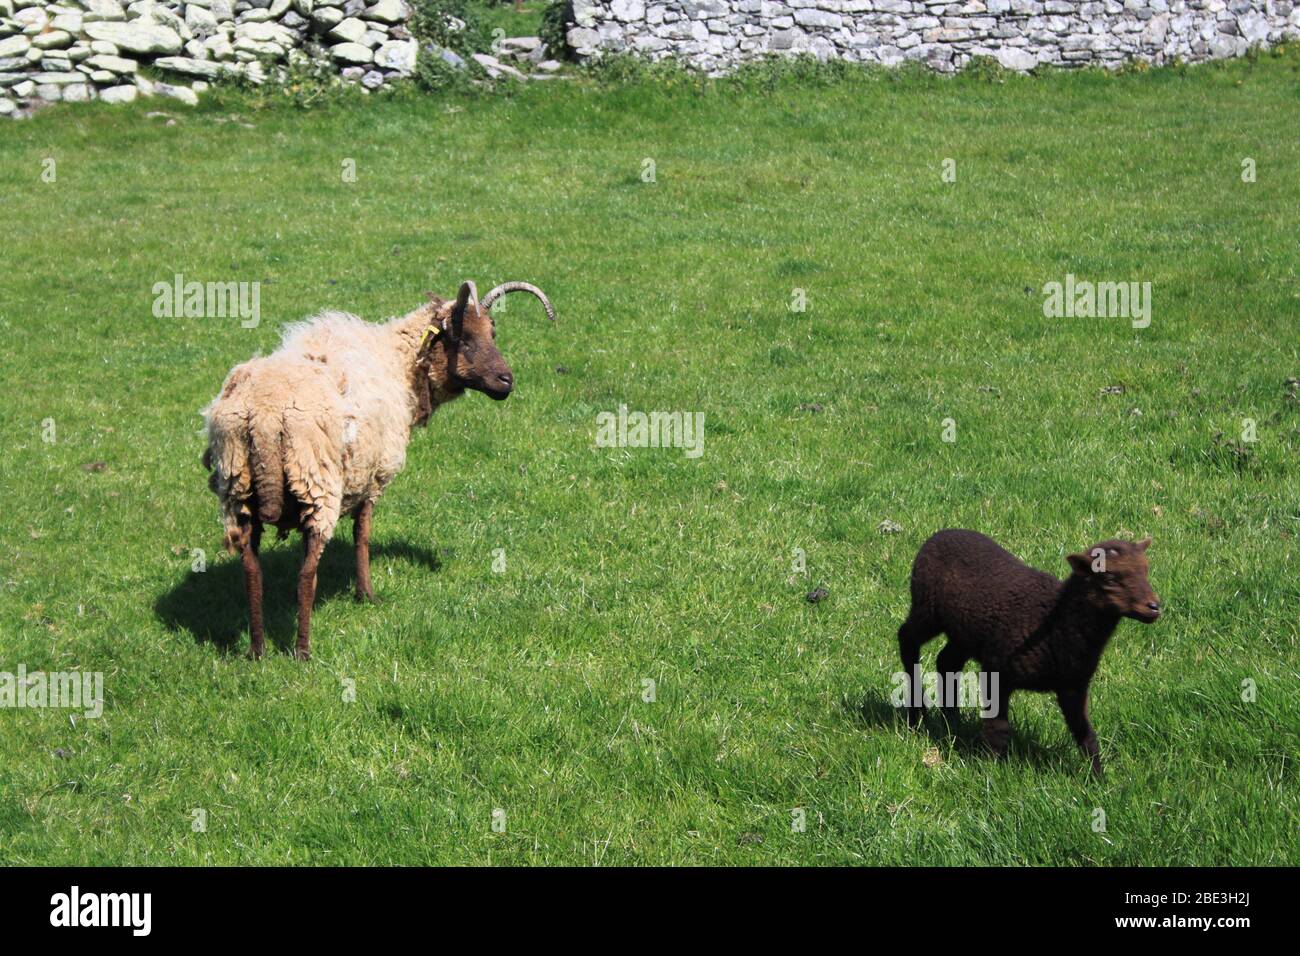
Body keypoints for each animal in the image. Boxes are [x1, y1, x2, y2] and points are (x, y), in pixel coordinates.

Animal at [201, 280, 553, 660]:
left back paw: (257, 651)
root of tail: (265, 415)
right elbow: (362, 535)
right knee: (306, 574)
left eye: (492, 332)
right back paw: (303, 650)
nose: (506, 380)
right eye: (463, 339)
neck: (399, 362)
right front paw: (366, 594)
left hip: (238, 491)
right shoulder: (373, 477)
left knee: (252, 571)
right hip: (317, 484)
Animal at [899, 530, 1164, 780]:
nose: (1154, 607)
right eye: (1109, 578)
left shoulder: (1073, 686)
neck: (1055, 623)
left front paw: (1098, 780)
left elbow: (1086, 734)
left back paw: (952, 719)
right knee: (907, 638)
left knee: (946, 662)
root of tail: (941, 534)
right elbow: (998, 729)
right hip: (927, 608)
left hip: (963, 632)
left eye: (1146, 570)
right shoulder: (997, 671)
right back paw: (917, 713)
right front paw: (991, 771)